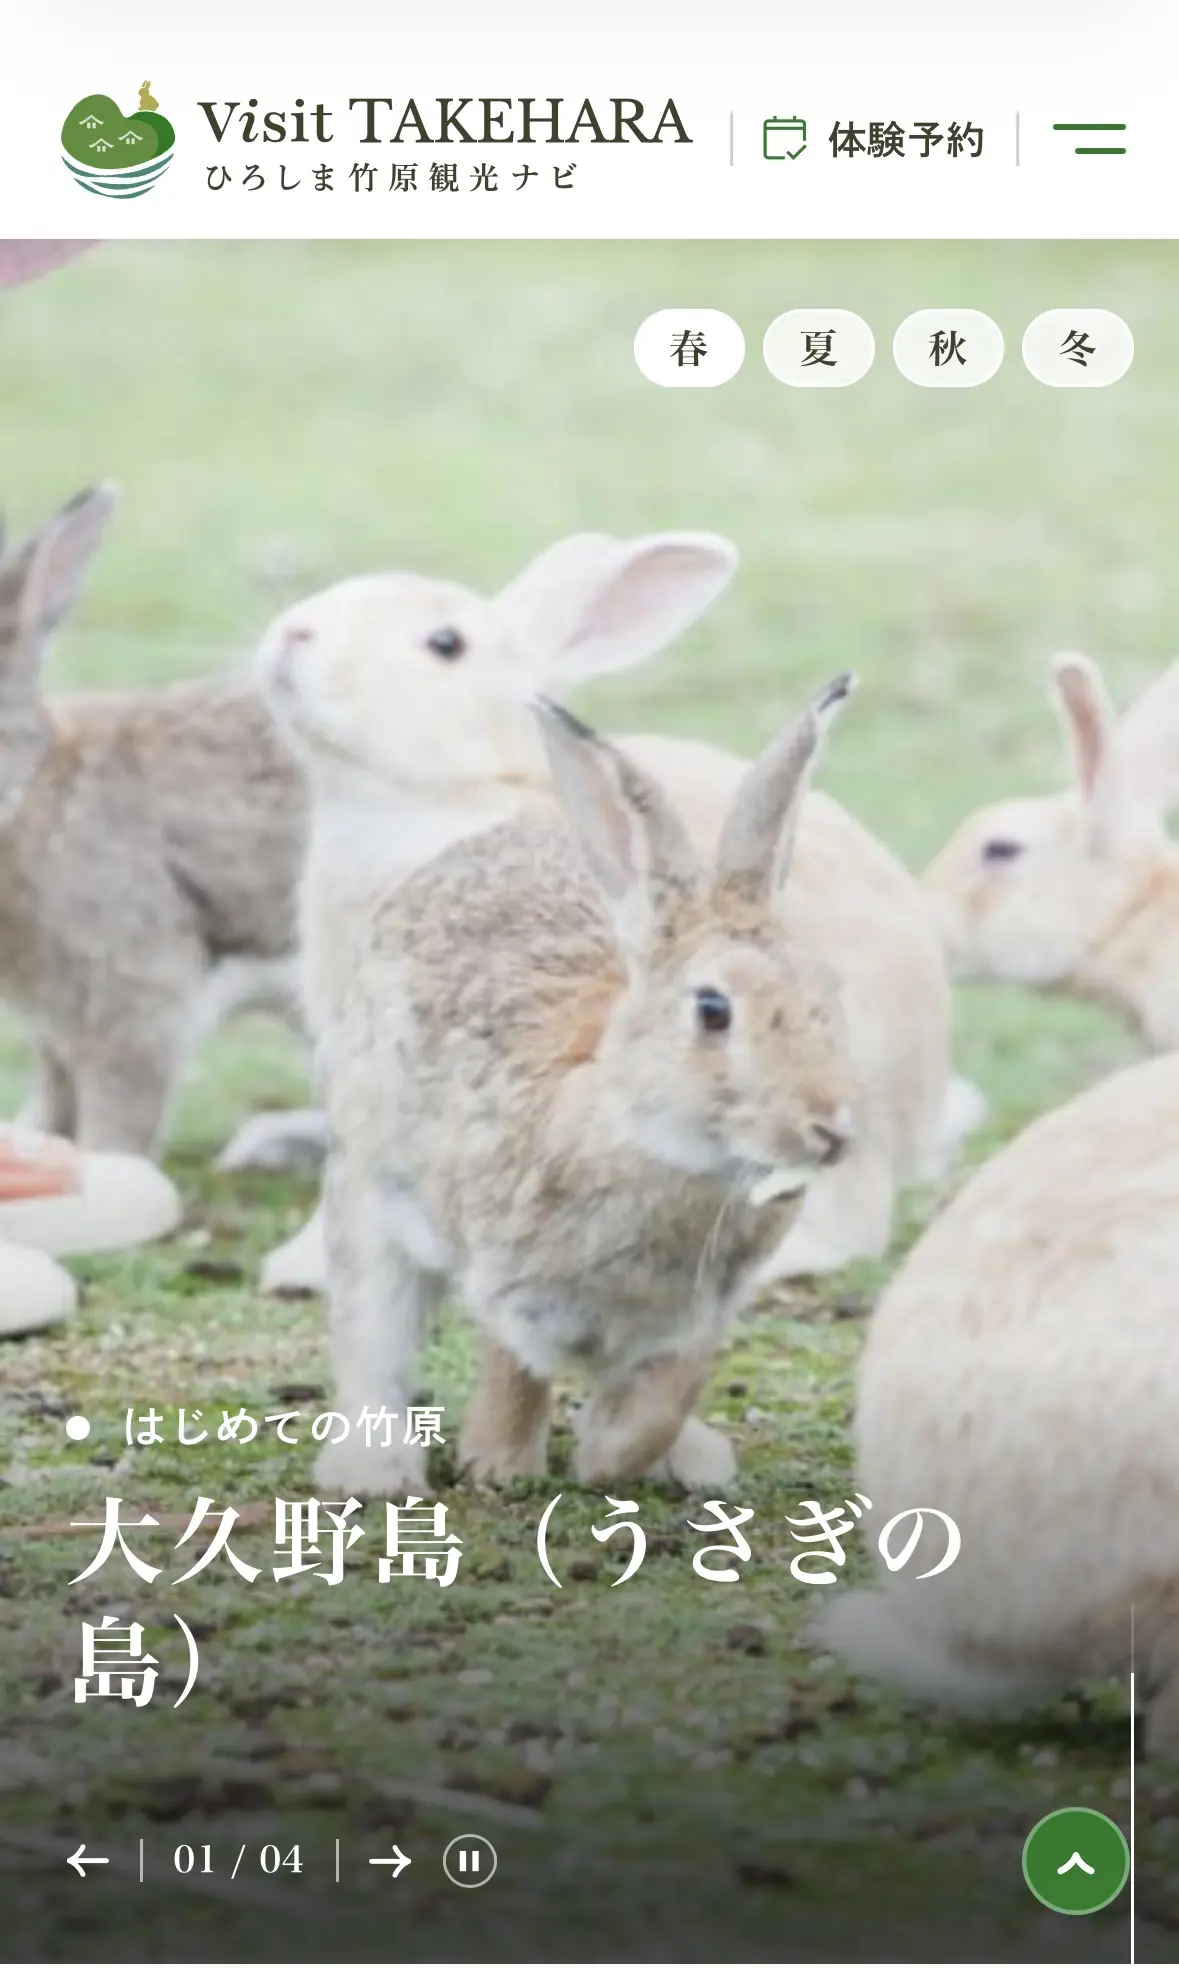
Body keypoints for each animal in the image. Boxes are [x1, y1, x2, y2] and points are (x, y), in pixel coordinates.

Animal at [0, 484, 309, 1209]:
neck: (26, 788)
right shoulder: (56, 1031)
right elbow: (53, 1097)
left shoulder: (133, 1006)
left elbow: (118, 1115)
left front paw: (104, 1173)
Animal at [315, 683, 859, 1501]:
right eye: (713, 1010)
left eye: (828, 991)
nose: (829, 1127)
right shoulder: (513, 1285)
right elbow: (517, 1373)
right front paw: (499, 1466)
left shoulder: (691, 1318)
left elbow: (660, 1401)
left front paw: (623, 1455)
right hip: (369, 1197)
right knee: (371, 1331)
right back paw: (371, 1470)